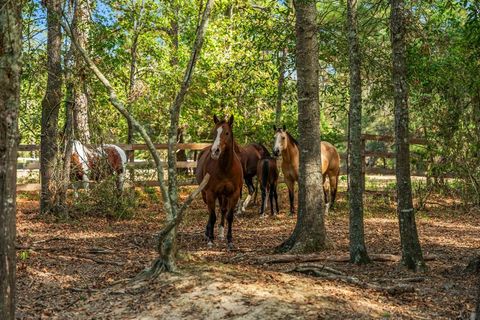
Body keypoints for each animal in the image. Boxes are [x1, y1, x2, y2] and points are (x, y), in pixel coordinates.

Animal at [195, 115, 244, 250]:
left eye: (226, 133)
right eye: (214, 133)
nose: (215, 151)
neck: (226, 167)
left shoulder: (234, 194)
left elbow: (229, 216)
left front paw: (230, 241)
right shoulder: (211, 193)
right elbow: (212, 216)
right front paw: (210, 239)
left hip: (224, 195)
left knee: (222, 210)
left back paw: (221, 233)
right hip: (206, 194)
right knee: (210, 212)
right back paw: (207, 233)